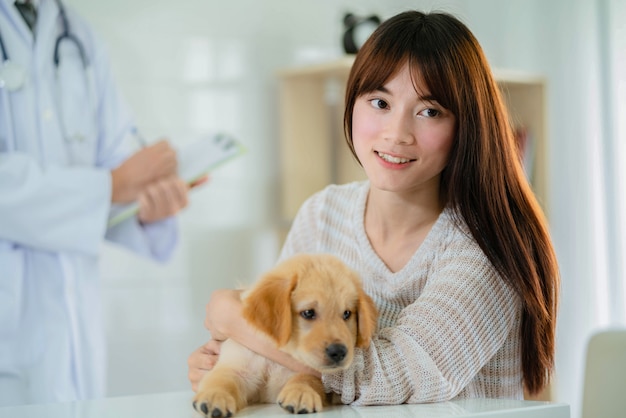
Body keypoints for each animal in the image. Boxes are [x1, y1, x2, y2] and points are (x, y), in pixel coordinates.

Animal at [190, 253, 376, 416]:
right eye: (308, 313)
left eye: (346, 314)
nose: (339, 352)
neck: (276, 357)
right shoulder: (237, 364)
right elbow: (222, 379)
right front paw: (214, 396)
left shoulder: (305, 370)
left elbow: (307, 378)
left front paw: (301, 392)